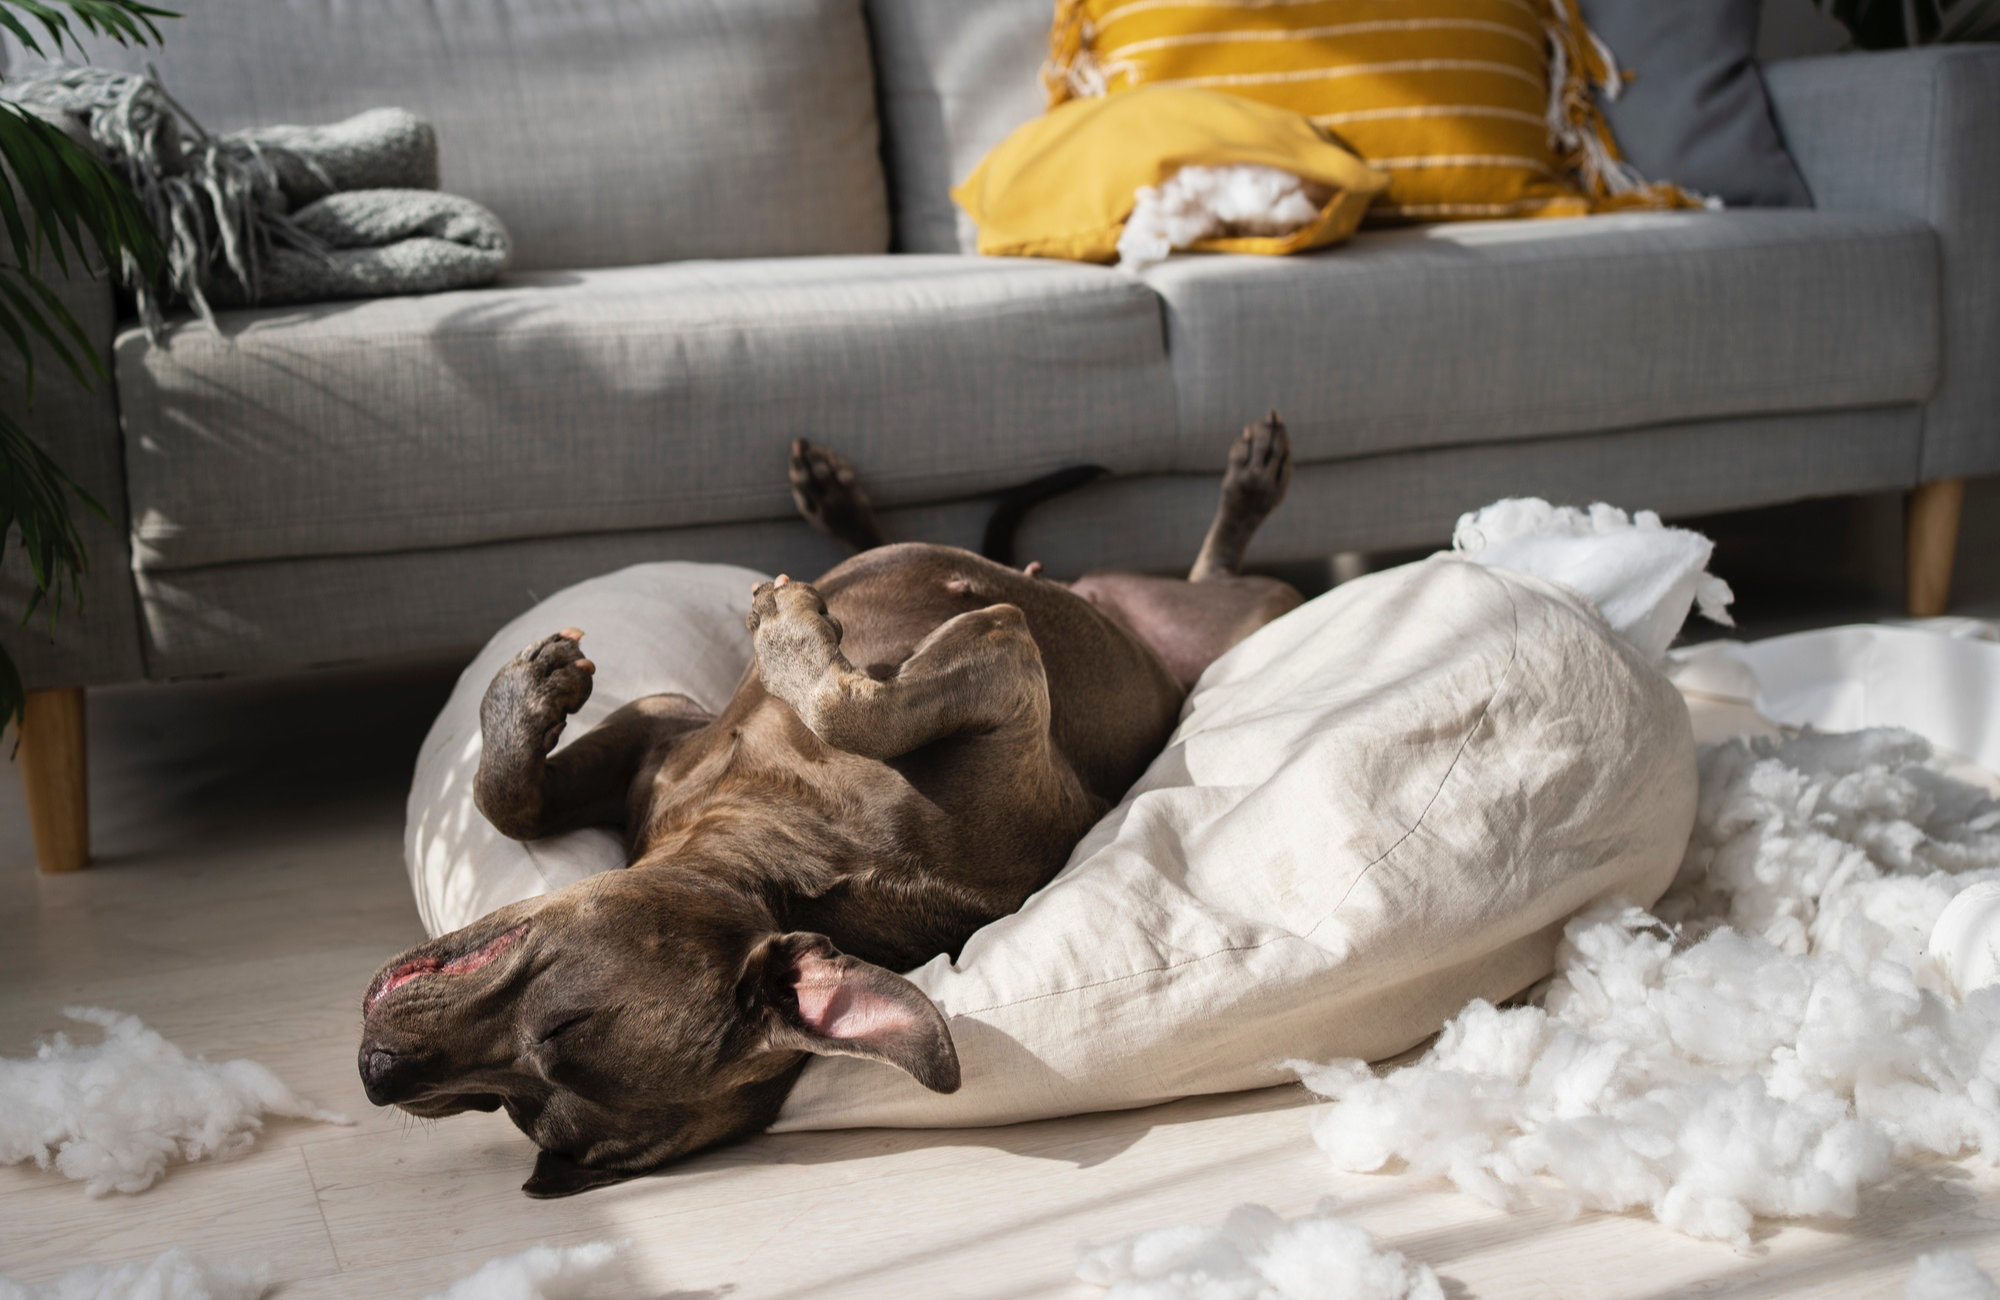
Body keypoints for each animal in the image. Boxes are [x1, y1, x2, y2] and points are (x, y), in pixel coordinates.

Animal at [358, 416, 1296, 1192]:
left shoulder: (1006, 660)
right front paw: (527, 702)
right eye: (506, 1104)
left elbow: (852, 705)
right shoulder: (658, 727)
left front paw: (788, 629)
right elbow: (505, 802)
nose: (377, 1072)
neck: (787, 853)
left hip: (1251, 616)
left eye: (554, 1038)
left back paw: (1251, 483)